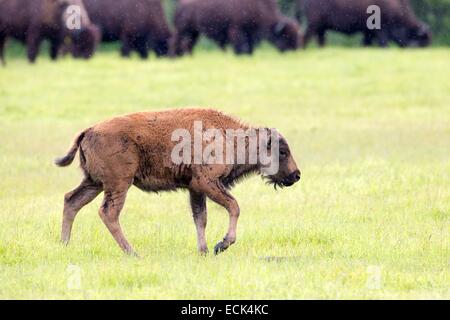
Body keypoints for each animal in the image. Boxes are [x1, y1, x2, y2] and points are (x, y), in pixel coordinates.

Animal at [56, 109, 300, 256]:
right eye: (282, 151)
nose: (296, 175)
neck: (228, 138)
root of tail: (88, 131)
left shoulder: (195, 189)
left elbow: (200, 218)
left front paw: (203, 251)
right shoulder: (207, 183)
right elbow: (234, 206)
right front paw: (221, 245)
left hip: (94, 183)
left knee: (71, 201)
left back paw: (64, 245)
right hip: (118, 184)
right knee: (108, 213)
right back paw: (133, 253)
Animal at [173, 0, 302, 55]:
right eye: (286, 36)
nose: (294, 50)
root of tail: (180, 5)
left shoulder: (251, 33)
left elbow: (250, 46)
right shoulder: (236, 30)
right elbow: (240, 45)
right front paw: (239, 55)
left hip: (195, 32)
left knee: (189, 44)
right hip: (182, 30)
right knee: (178, 42)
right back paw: (176, 56)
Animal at [298, 0, 430, 47]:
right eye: (421, 41)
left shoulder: (368, 32)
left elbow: (366, 42)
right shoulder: (382, 30)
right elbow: (383, 42)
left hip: (321, 27)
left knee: (320, 39)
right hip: (314, 24)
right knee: (306, 37)